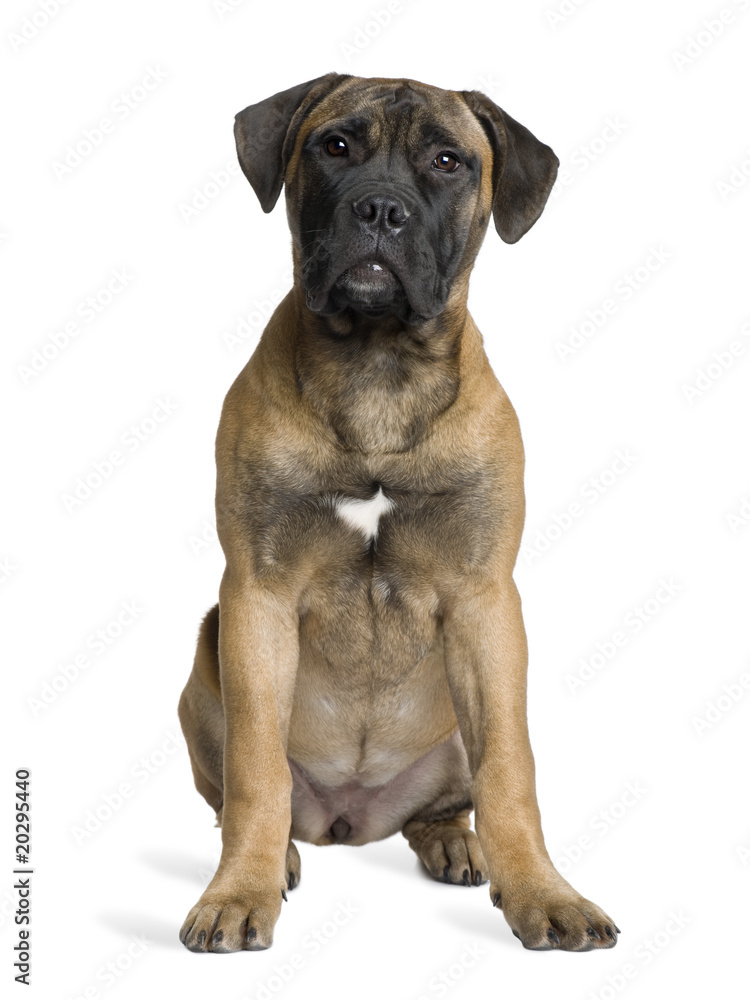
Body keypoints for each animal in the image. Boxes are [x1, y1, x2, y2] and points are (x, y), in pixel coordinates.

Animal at [178, 72, 624, 952]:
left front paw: (544, 893)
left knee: (450, 801)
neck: (377, 363)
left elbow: (510, 770)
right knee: (249, 794)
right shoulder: (256, 596)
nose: (381, 210)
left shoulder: (485, 603)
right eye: (335, 146)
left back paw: (457, 842)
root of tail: (350, 818)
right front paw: (239, 891)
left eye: (449, 161)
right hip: (204, 671)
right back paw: (280, 855)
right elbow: (257, 770)